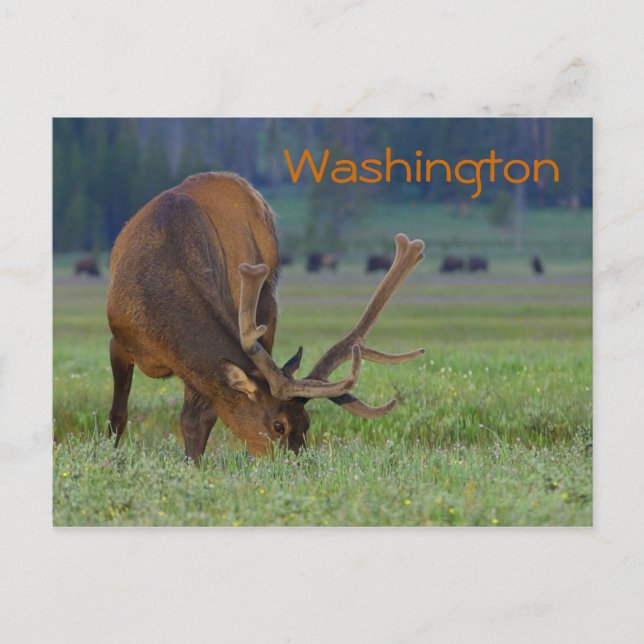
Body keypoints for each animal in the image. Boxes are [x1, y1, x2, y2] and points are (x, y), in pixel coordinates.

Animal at [107, 172, 425, 461]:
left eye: (307, 423)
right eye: (278, 425)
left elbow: (196, 421)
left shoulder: (195, 369)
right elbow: (117, 416)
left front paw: (193, 465)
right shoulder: (118, 340)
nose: (298, 464)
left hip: (267, 304)